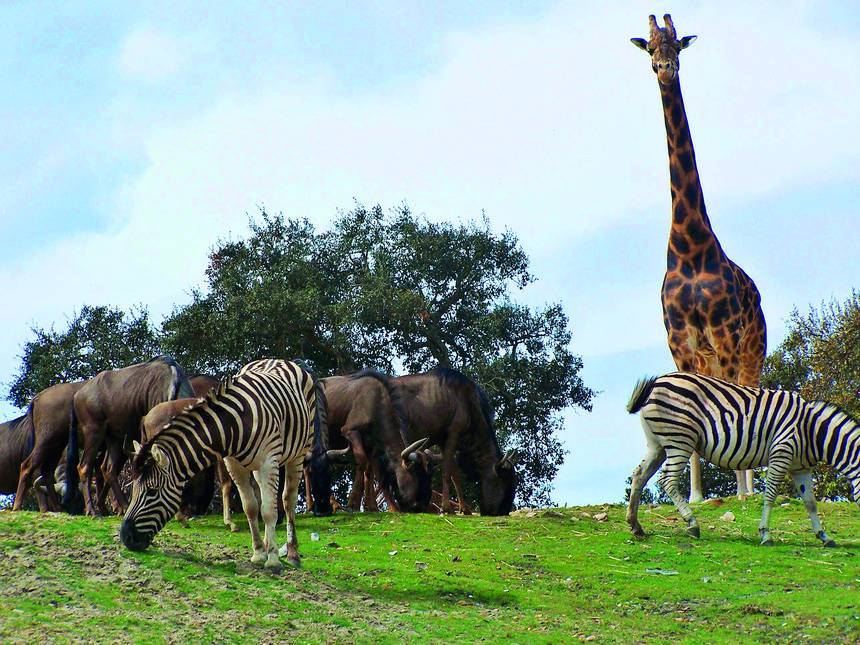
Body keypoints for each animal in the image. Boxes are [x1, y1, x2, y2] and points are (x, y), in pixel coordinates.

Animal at [121, 360, 322, 572]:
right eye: (134, 490)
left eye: (152, 491)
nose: (125, 537)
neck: (233, 424)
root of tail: (276, 360)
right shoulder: (234, 464)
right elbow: (251, 507)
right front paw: (259, 552)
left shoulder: (268, 462)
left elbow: (268, 510)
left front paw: (273, 558)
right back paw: (269, 543)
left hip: (296, 454)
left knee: (287, 500)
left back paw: (292, 553)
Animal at [624, 372, 860, 544]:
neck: (813, 431)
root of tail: (656, 383)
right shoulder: (781, 454)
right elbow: (770, 496)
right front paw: (765, 534)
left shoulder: (800, 467)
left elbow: (810, 503)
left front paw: (824, 536)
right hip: (680, 438)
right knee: (667, 480)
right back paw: (692, 524)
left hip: (658, 443)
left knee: (639, 475)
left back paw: (635, 526)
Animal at [632, 12, 764, 500]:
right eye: (650, 48)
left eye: (677, 46)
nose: (665, 69)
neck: (690, 249)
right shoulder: (680, 342)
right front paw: (695, 495)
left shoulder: (726, 335)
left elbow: (736, 406)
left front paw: (740, 494)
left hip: (751, 347)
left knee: (751, 393)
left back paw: (750, 488)